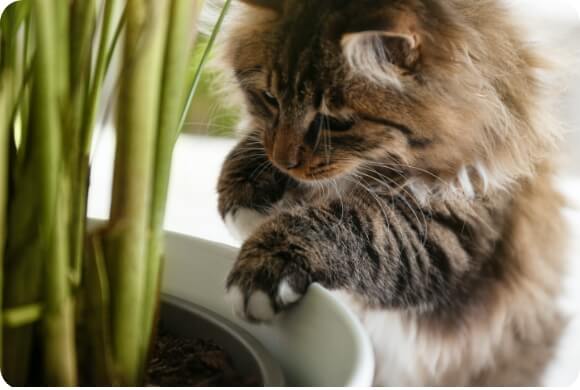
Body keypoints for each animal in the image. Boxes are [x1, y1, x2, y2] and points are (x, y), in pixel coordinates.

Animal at [215, 0, 568, 384]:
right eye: (269, 99)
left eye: (335, 122)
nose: (285, 161)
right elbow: (251, 147)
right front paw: (245, 195)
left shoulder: (448, 226)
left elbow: (351, 228)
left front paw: (262, 267)